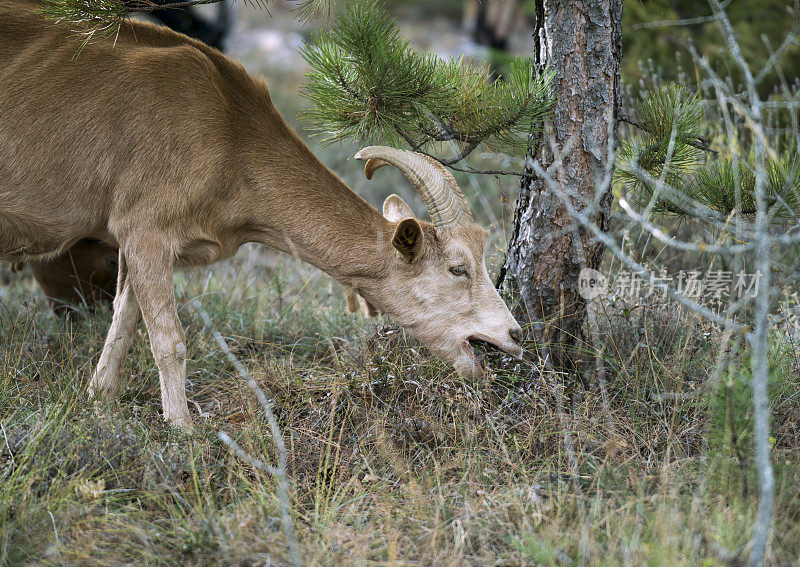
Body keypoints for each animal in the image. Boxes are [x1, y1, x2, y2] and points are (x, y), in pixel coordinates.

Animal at [0, 0, 520, 426]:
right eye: (458, 268)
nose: (514, 335)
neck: (230, 131)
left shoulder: (132, 244)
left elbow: (124, 321)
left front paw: (100, 401)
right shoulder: (146, 228)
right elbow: (169, 341)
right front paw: (183, 434)